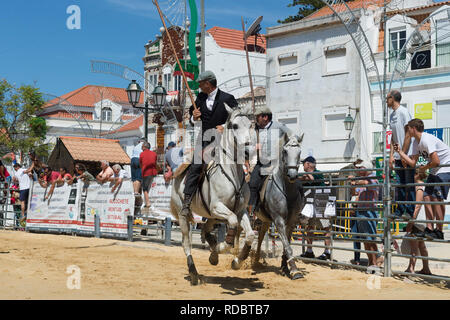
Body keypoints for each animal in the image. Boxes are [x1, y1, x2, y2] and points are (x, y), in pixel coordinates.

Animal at [170, 104, 255, 284]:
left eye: (250, 125)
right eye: (234, 126)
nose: (248, 151)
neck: (232, 173)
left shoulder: (240, 210)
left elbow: (250, 235)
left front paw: (237, 260)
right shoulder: (218, 207)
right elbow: (232, 225)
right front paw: (223, 247)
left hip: (212, 216)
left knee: (205, 230)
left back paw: (213, 255)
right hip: (184, 216)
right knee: (186, 243)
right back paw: (194, 273)